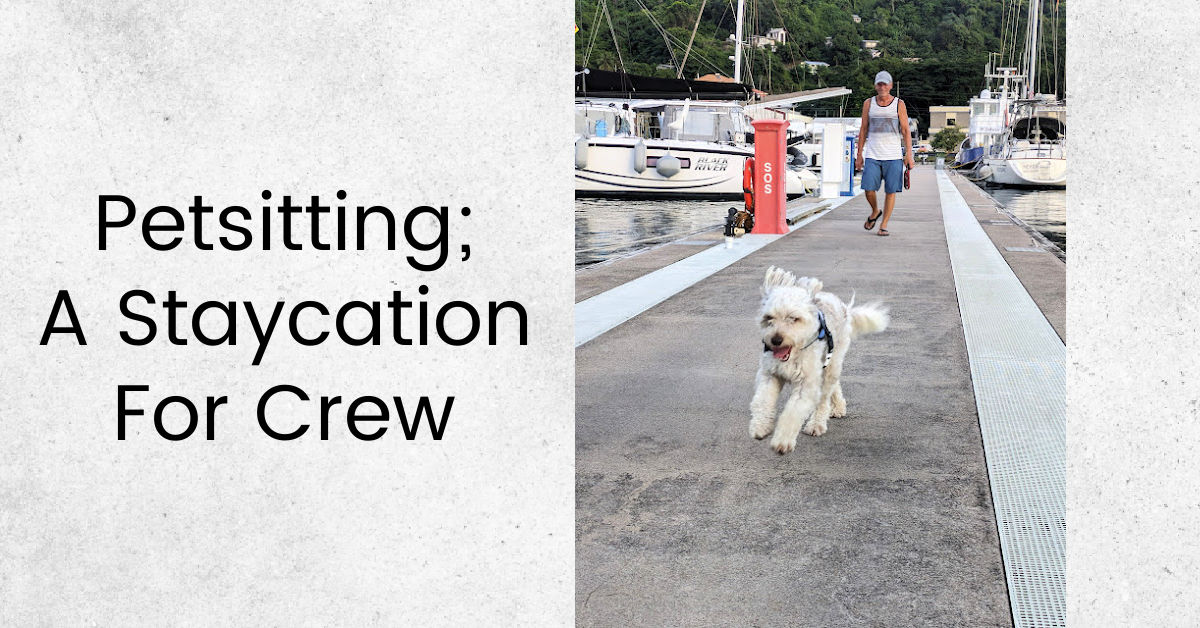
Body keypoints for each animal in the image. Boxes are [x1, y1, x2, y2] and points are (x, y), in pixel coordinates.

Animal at [748, 267, 892, 453]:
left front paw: (782, 441)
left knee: (824, 399)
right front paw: (760, 427)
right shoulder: (770, 375)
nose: (776, 340)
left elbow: (792, 413)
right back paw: (838, 407)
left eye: (794, 318)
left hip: (833, 364)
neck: (794, 354)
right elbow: (762, 401)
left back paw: (817, 424)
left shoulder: (807, 385)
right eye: (769, 318)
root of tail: (844, 307)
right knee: (834, 388)